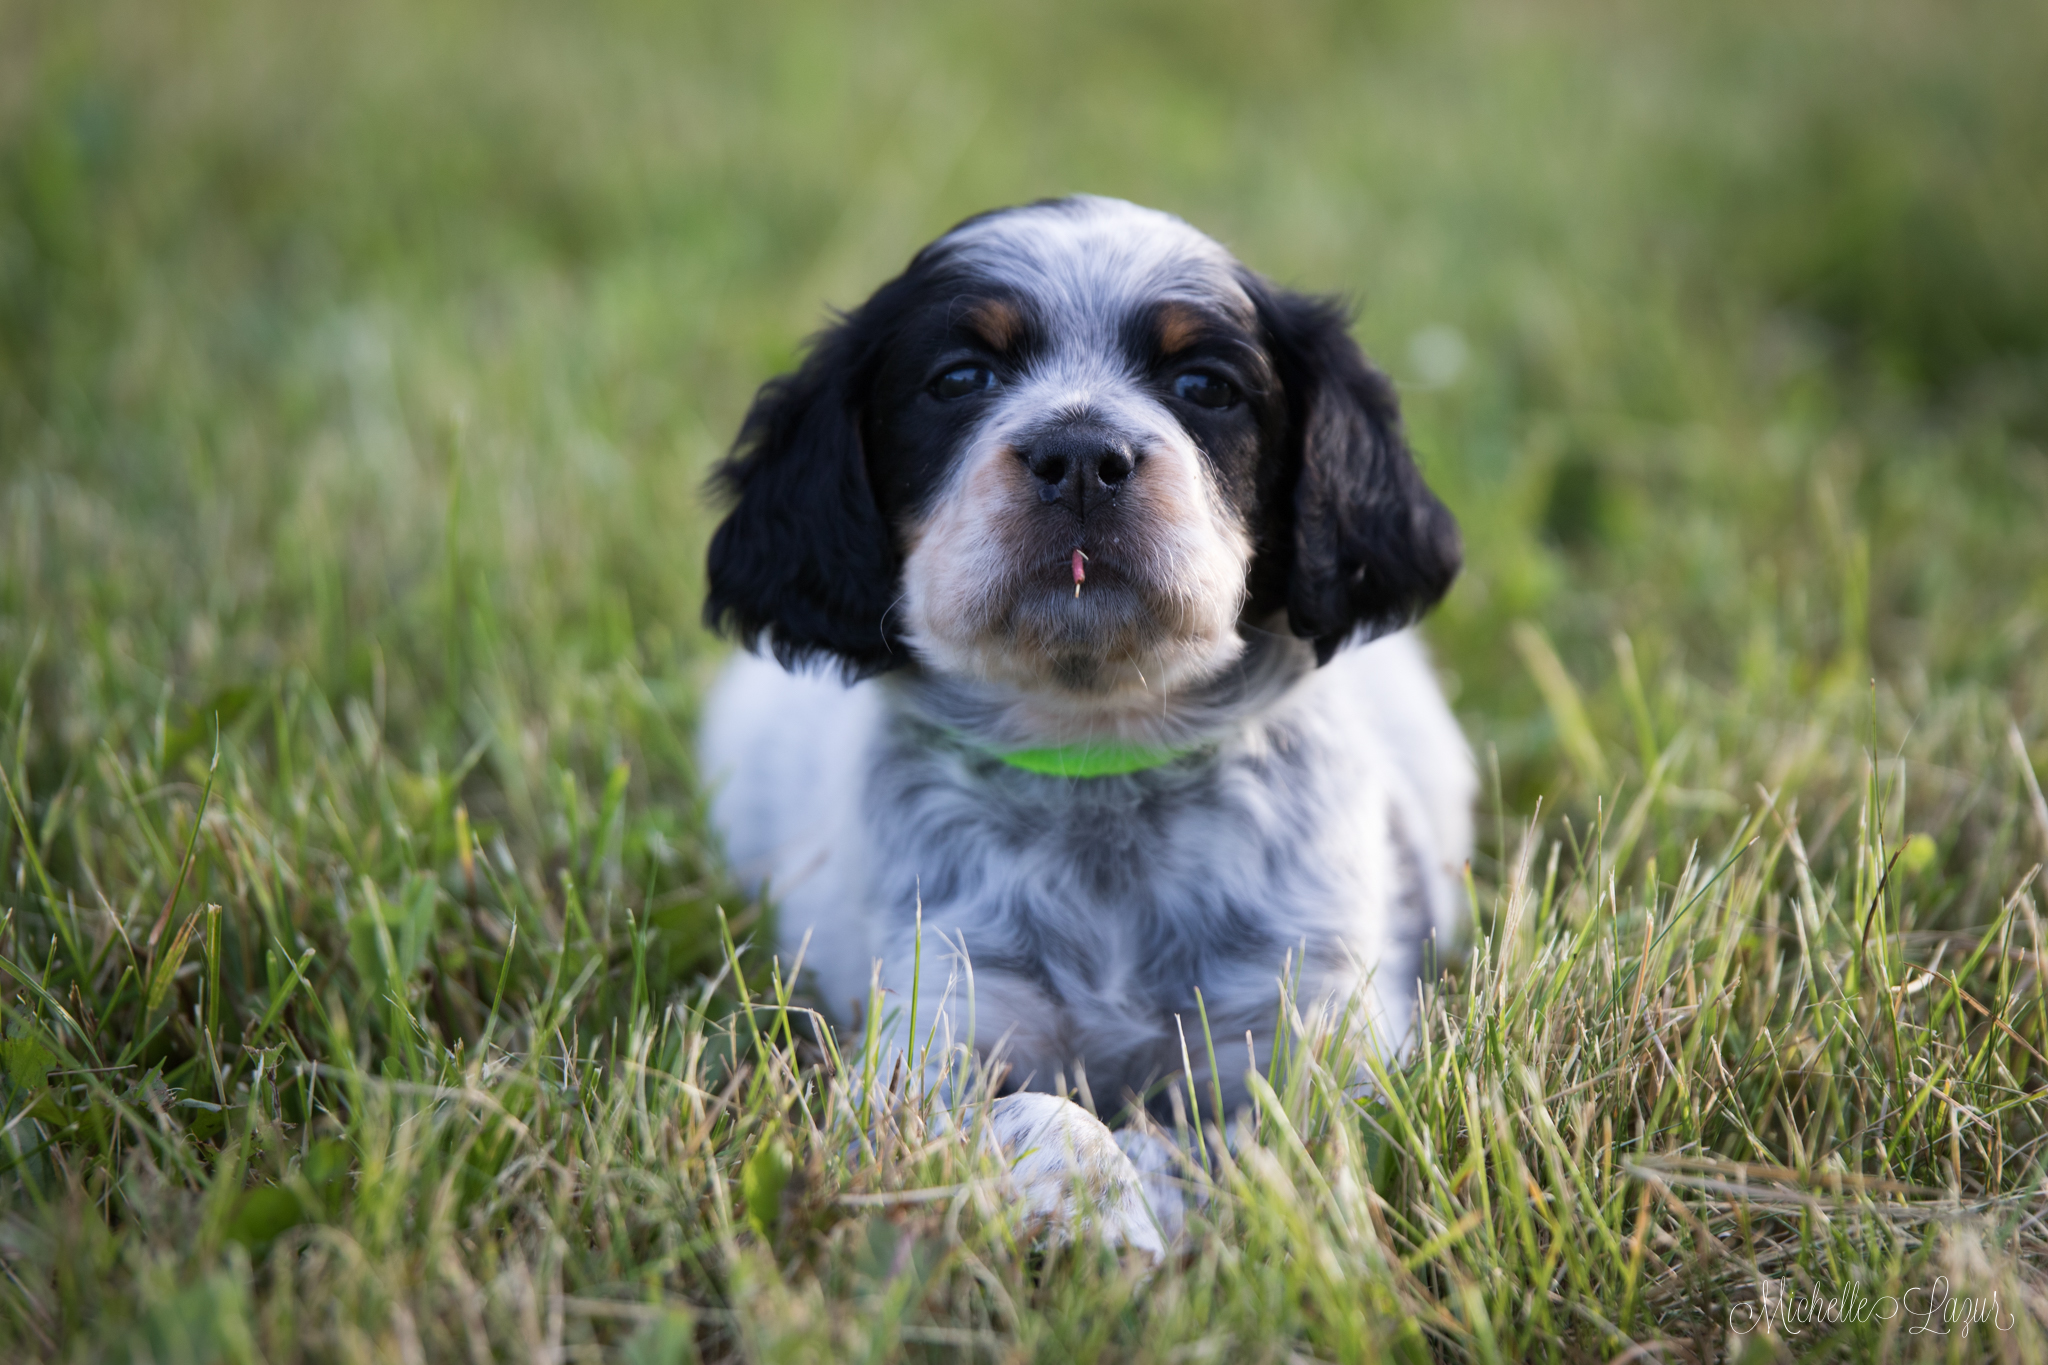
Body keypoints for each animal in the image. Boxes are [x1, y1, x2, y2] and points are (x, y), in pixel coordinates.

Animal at [700, 197, 1474, 1252]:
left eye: (1205, 385)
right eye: (960, 378)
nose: (1077, 459)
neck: (1102, 753)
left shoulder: (1315, 1029)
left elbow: (1264, 1135)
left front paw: (1155, 1181)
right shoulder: (932, 1034)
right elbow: (1036, 1111)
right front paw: (1113, 1207)